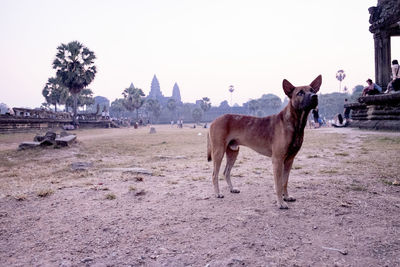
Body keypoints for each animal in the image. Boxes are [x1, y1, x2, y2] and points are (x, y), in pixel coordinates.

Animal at [208, 75, 320, 209]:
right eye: (300, 93)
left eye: (313, 90)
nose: (314, 96)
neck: (294, 123)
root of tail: (213, 121)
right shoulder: (277, 159)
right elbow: (278, 184)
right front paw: (281, 203)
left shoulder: (289, 160)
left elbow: (285, 182)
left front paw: (286, 197)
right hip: (218, 152)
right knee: (214, 174)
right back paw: (217, 193)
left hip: (233, 152)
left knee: (226, 172)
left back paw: (232, 188)